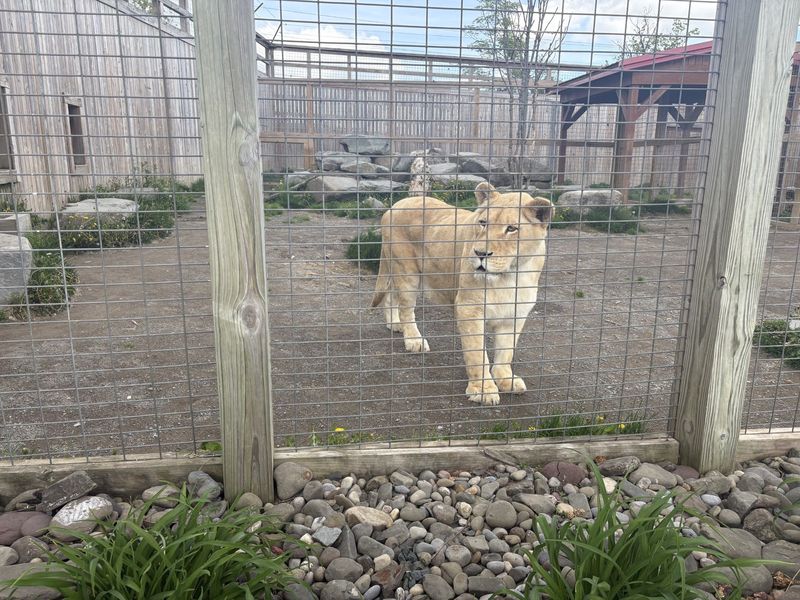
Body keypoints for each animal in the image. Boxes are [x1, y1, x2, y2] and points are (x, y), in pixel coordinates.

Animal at [371, 181, 554, 406]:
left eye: (512, 228)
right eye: (483, 223)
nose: (480, 254)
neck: (510, 276)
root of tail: (395, 205)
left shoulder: (515, 313)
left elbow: (506, 351)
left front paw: (505, 379)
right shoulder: (469, 308)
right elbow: (477, 353)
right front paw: (483, 390)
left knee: (391, 294)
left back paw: (395, 324)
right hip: (406, 271)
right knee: (406, 307)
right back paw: (413, 340)